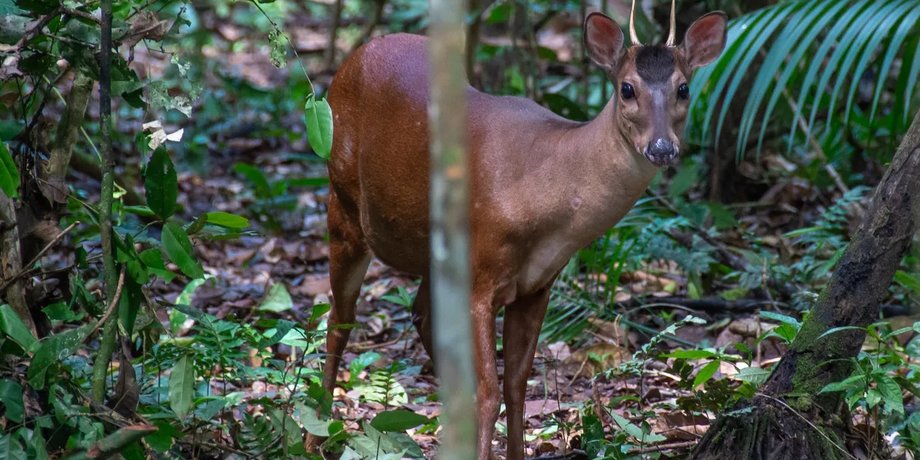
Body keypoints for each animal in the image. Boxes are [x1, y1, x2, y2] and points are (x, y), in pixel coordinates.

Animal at [317, 1, 726, 457]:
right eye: (627, 88)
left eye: (683, 88)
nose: (661, 148)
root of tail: (351, 61)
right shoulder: (481, 276)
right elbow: (489, 391)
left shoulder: (536, 285)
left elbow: (516, 384)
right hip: (343, 202)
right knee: (339, 320)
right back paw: (315, 432)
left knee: (421, 313)